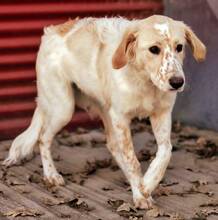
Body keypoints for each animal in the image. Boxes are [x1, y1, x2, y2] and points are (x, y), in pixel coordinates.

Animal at [3, 15, 206, 208]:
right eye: (154, 49)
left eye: (179, 47)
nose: (177, 82)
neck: (145, 82)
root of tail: (52, 31)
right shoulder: (121, 117)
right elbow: (132, 160)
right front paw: (141, 192)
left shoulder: (161, 114)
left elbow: (165, 152)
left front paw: (146, 184)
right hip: (63, 108)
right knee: (43, 137)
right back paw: (51, 175)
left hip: (103, 109)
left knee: (113, 145)